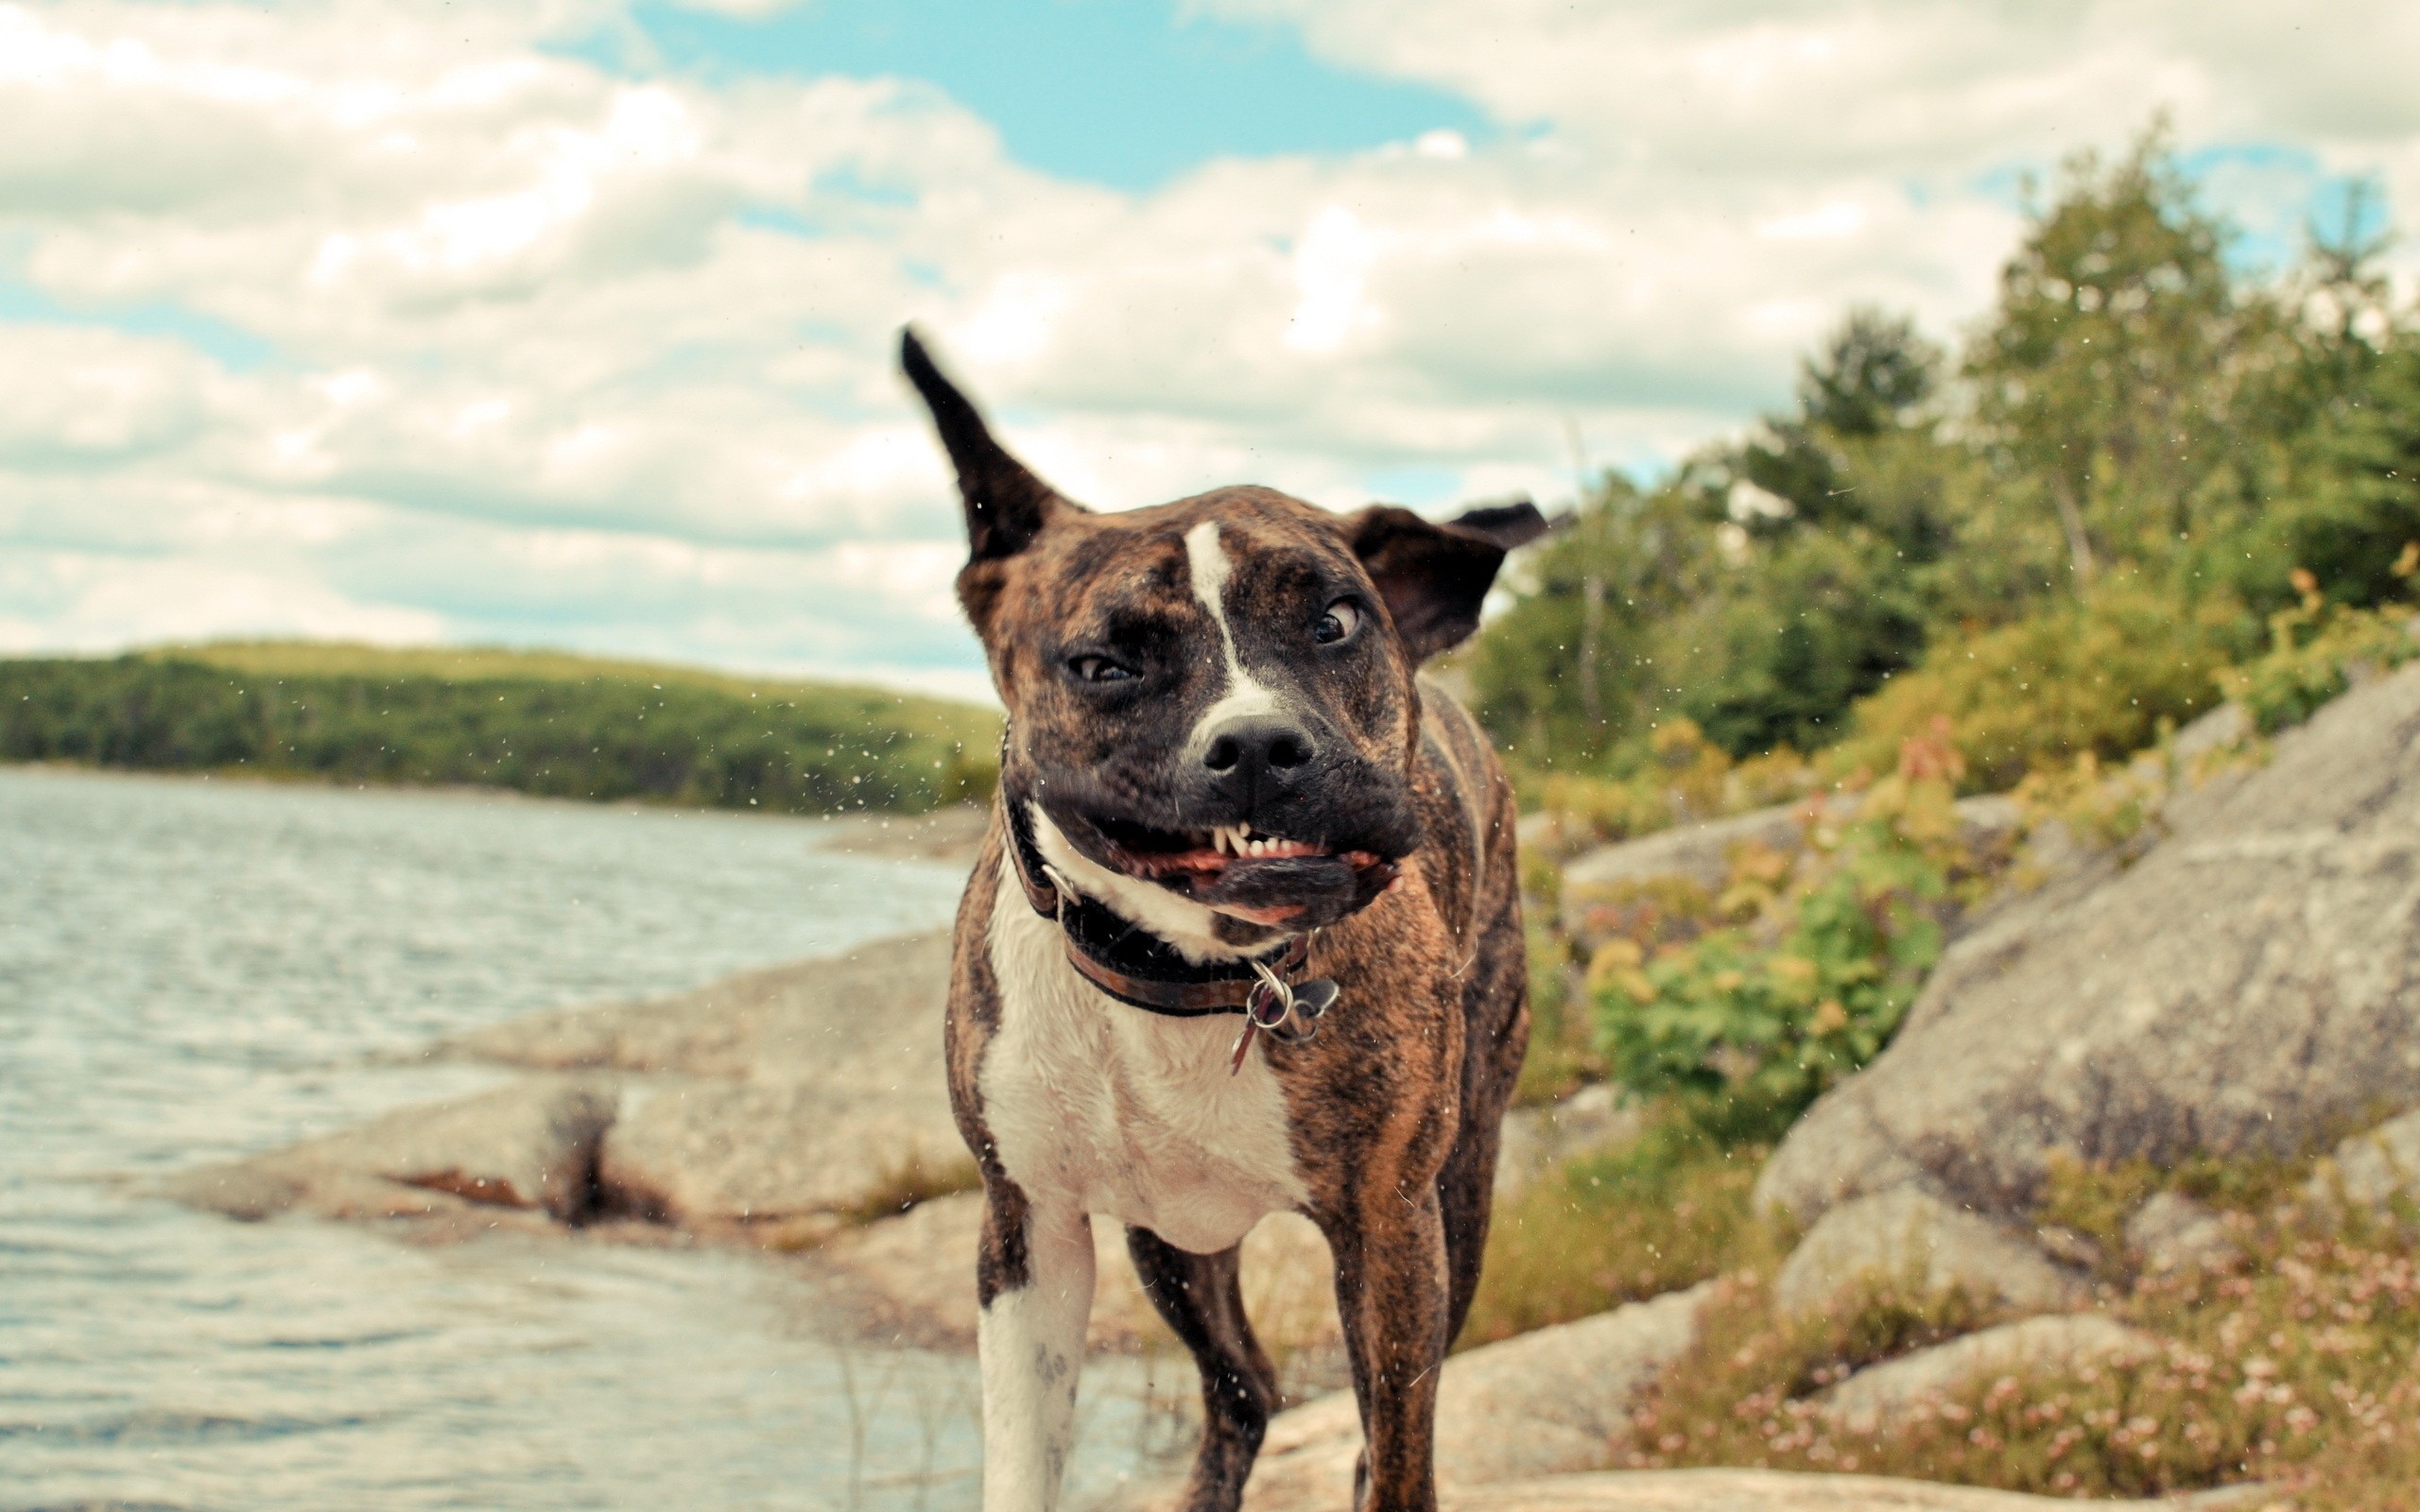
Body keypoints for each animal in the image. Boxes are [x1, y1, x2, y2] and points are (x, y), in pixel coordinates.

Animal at [900, 329, 1539, 1509]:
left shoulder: (1392, 1232)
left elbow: (1399, 1454)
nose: (1256, 746)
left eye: (1333, 622)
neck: (1196, 975)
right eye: (1103, 665)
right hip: (1170, 1244)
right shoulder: (1030, 1234)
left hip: (1463, 1184)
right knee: (1243, 1384)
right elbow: (1023, 1458)